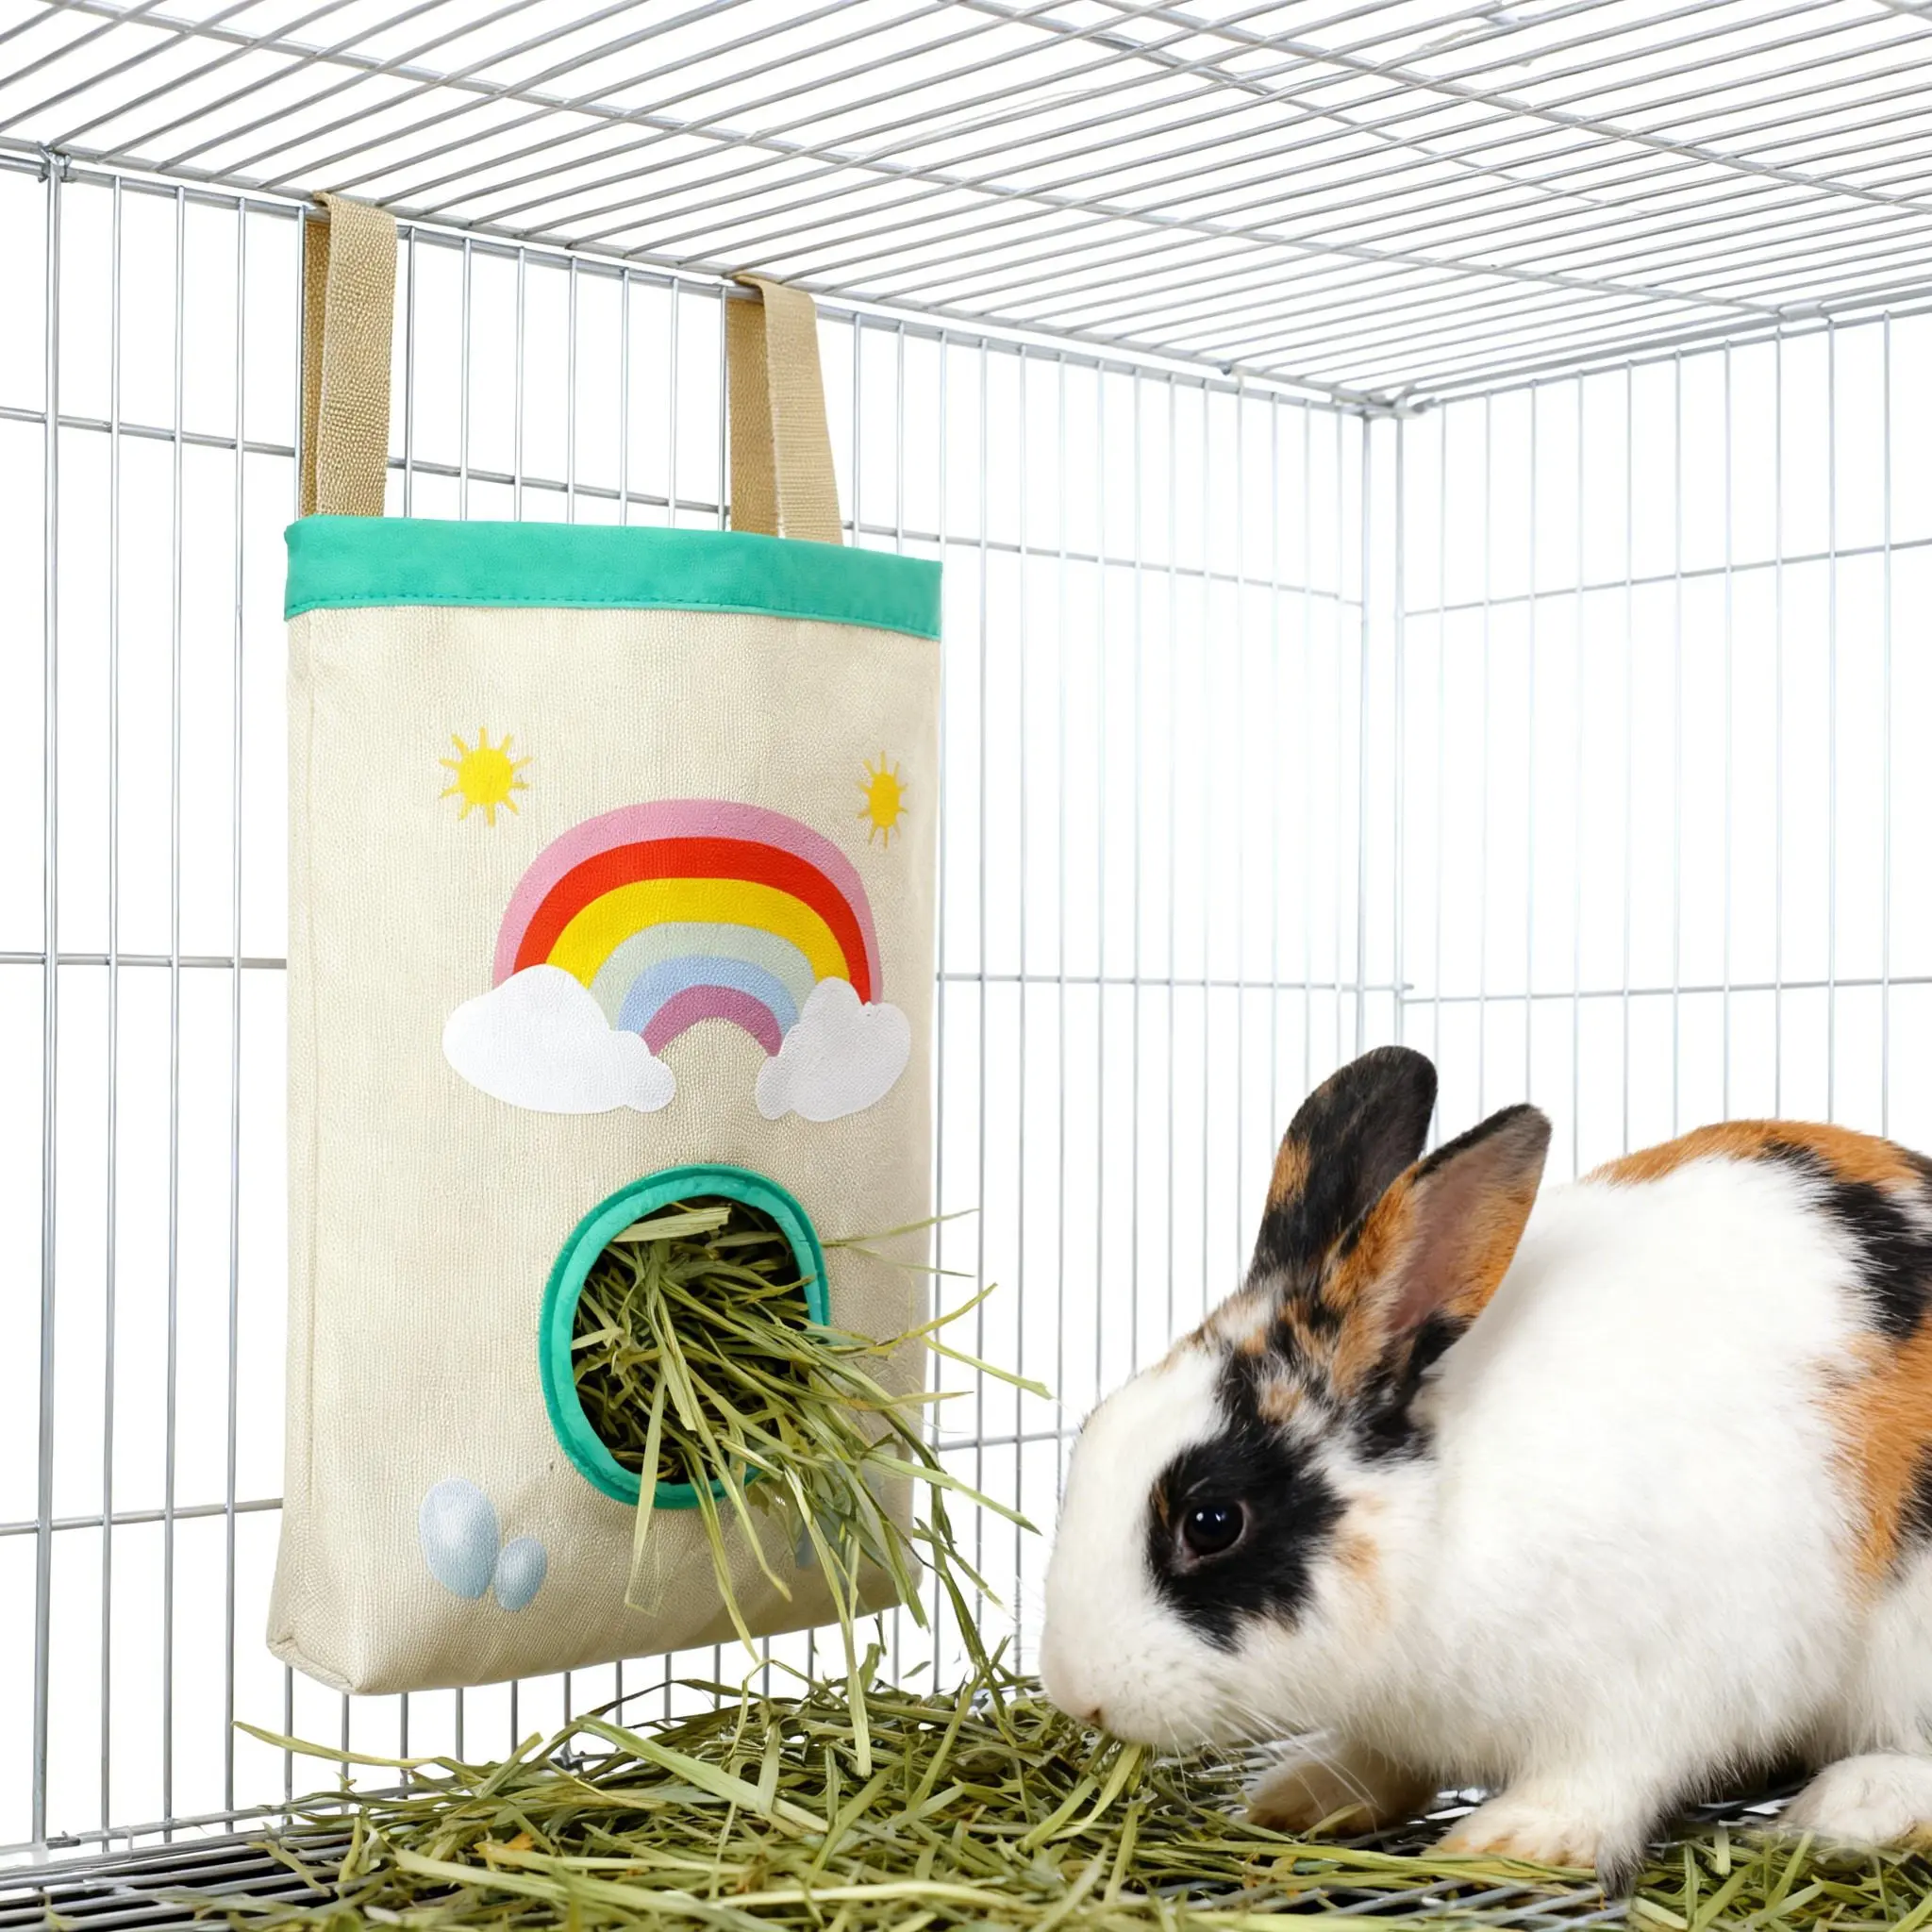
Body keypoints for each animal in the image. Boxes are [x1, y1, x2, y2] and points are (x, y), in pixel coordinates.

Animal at [1039, 1044, 1932, 1891]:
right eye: (1089, 1439)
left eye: (1213, 1521)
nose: (1077, 1693)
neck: (1439, 1519)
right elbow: (1378, 1765)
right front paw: (1302, 1797)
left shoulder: (1662, 1679)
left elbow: (1607, 1773)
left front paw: (1513, 1841)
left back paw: (1851, 1807)